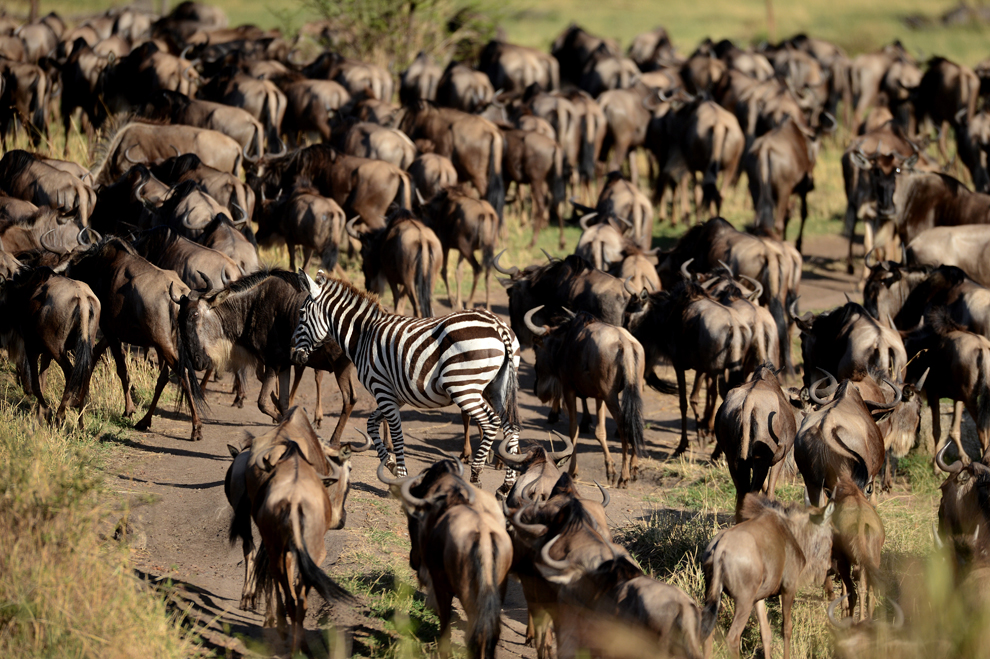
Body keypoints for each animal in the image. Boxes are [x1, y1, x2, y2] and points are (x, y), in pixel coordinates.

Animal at [288, 268, 528, 490]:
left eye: (302, 314)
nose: (294, 354)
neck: (364, 335)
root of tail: (497, 324)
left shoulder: (382, 389)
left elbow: (396, 434)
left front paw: (400, 477)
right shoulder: (396, 395)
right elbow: (371, 424)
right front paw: (392, 465)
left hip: (463, 387)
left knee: (491, 422)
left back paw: (476, 475)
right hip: (496, 388)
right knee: (510, 426)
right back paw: (506, 485)